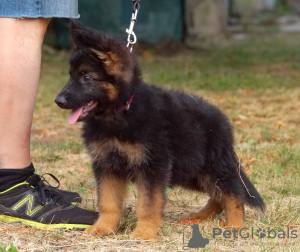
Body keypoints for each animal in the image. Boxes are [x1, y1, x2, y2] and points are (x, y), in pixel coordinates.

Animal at [55, 20, 264, 239]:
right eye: (71, 76)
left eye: (86, 77)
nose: (58, 101)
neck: (121, 112)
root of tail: (221, 117)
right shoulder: (106, 166)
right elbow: (108, 201)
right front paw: (103, 227)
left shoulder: (152, 166)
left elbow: (147, 203)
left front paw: (145, 232)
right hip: (191, 172)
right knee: (217, 194)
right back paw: (201, 216)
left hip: (212, 167)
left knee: (233, 193)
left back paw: (236, 226)